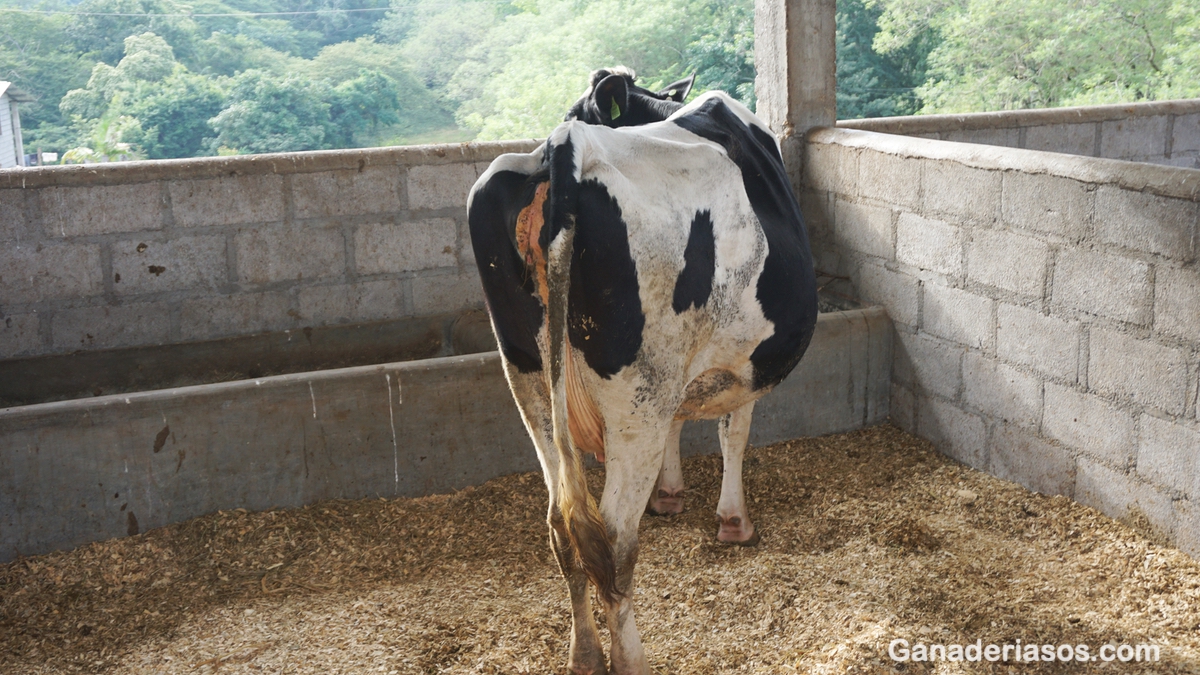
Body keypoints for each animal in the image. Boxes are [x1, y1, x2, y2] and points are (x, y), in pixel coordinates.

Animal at [465, 68, 816, 672]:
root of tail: (564, 147)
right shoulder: (740, 363)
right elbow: (734, 433)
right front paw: (733, 522)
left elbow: (685, 427)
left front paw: (670, 494)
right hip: (637, 395)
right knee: (614, 536)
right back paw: (629, 657)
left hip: (530, 383)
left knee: (561, 525)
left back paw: (583, 653)